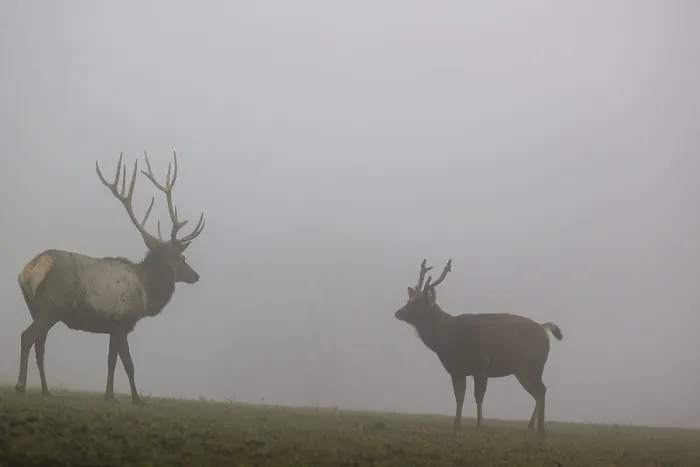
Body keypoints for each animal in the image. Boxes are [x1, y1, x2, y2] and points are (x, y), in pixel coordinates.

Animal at [15, 151, 205, 405]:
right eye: (182, 257)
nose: (196, 276)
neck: (147, 293)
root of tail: (33, 266)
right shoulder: (124, 321)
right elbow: (125, 363)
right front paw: (129, 398)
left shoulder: (113, 326)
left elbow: (115, 361)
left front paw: (117, 396)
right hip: (51, 305)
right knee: (28, 337)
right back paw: (20, 386)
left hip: (35, 307)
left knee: (40, 344)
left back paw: (46, 391)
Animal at [394, 259, 563, 437]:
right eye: (408, 301)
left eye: (417, 304)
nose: (398, 313)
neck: (449, 339)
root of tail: (544, 328)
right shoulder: (456, 370)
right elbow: (459, 397)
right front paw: (457, 424)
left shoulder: (482, 364)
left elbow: (478, 396)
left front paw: (479, 424)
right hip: (527, 369)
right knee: (539, 392)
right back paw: (532, 426)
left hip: (531, 365)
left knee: (541, 391)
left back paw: (541, 427)